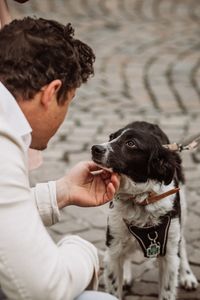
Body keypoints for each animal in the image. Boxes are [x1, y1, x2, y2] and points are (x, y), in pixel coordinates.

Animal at [91, 121, 198, 300]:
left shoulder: (168, 254)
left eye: (131, 143)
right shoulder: (112, 251)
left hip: (182, 208)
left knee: (182, 244)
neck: (140, 200)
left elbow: (167, 291)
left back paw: (187, 275)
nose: (95, 148)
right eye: (111, 137)